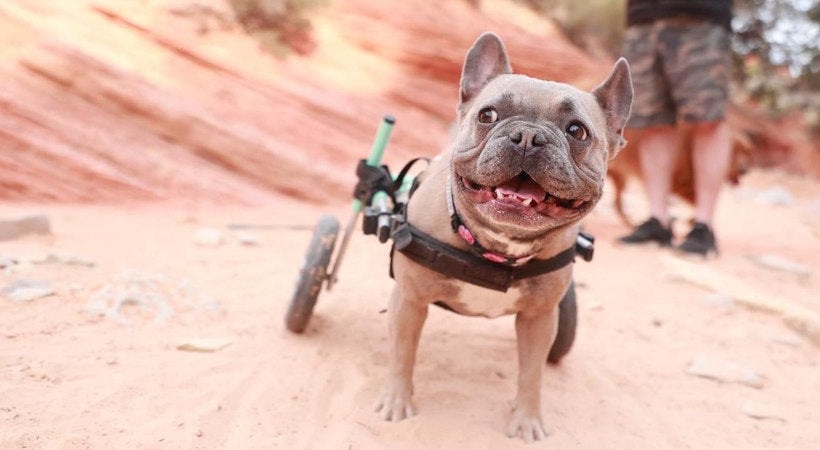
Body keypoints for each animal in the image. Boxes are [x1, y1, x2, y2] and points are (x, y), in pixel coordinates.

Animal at [374, 33, 632, 442]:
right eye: (488, 115)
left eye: (577, 131)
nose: (527, 136)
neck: (497, 244)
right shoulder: (410, 300)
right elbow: (403, 353)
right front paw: (397, 402)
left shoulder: (539, 318)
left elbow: (532, 373)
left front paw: (527, 420)